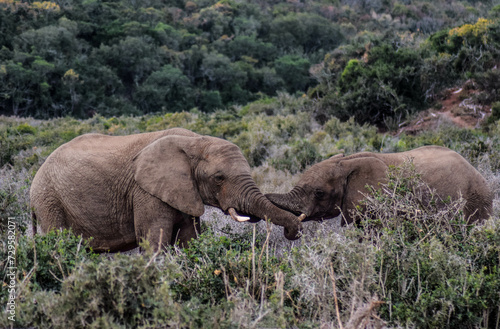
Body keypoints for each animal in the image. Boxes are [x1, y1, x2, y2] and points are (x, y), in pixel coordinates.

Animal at [32, 128, 304, 251]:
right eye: (219, 178)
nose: (294, 233)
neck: (195, 141)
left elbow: (189, 240)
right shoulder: (145, 192)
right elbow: (154, 242)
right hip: (49, 201)